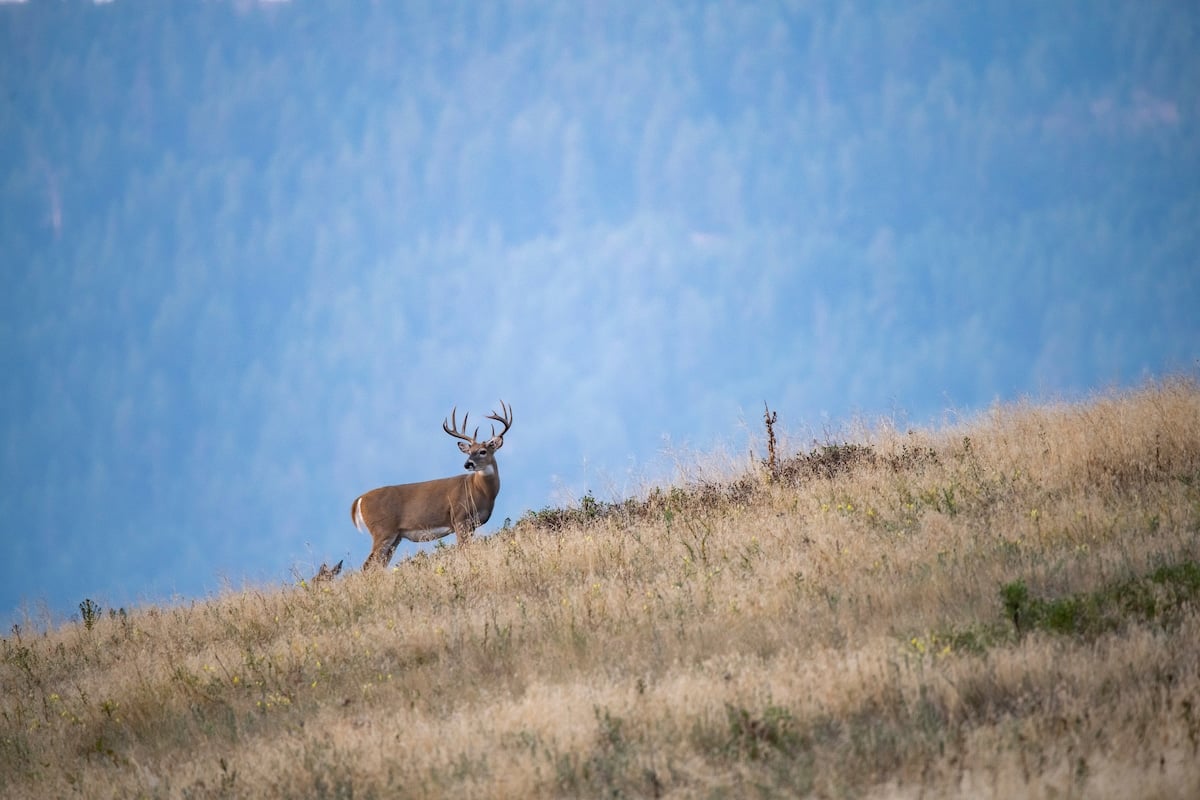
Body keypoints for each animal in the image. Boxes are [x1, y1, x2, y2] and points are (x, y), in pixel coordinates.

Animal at [350, 400, 513, 568]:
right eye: (469, 452)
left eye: (482, 451)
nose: (468, 464)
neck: (480, 490)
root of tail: (359, 500)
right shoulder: (459, 518)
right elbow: (463, 550)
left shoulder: (472, 525)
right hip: (382, 531)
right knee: (367, 565)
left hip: (395, 536)